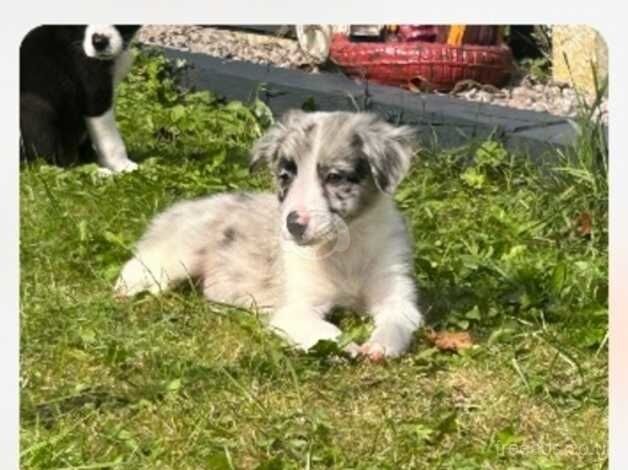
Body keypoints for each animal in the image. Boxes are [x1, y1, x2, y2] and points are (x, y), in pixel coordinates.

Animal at [21, 25, 142, 173]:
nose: (99, 42)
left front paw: (93, 159)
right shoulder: (93, 88)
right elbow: (109, 136)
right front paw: (122, 165)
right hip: (34, 107)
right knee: (52, 163)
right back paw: (98, 172)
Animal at [115, 111, 424, 360]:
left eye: (335, 177)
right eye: (285, 176)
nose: (294, 225)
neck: (345, 249)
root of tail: (181, 208)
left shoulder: (397, 296)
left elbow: (396, 323)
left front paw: (379, 347)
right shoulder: (295, 309)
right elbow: (326, 330)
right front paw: (345, 347)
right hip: (178, 256)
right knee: (140, 265)